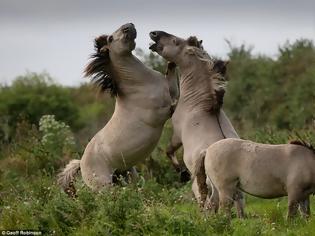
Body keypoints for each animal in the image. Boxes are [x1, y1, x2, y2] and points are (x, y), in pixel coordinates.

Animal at [58, 23, 178, 195]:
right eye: (110, 38)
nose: (129, 26)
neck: (141, 84)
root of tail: (81, 163)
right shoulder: (162, 113)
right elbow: (176, 103)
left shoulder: (170, 92)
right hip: (105, 187)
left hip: (128, 175)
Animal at [149, 30, 238, 205]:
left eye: (175, 41)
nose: (154, 34)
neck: (198, 104)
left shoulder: (177, 135)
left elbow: (169, 151)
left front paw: (182, 173)